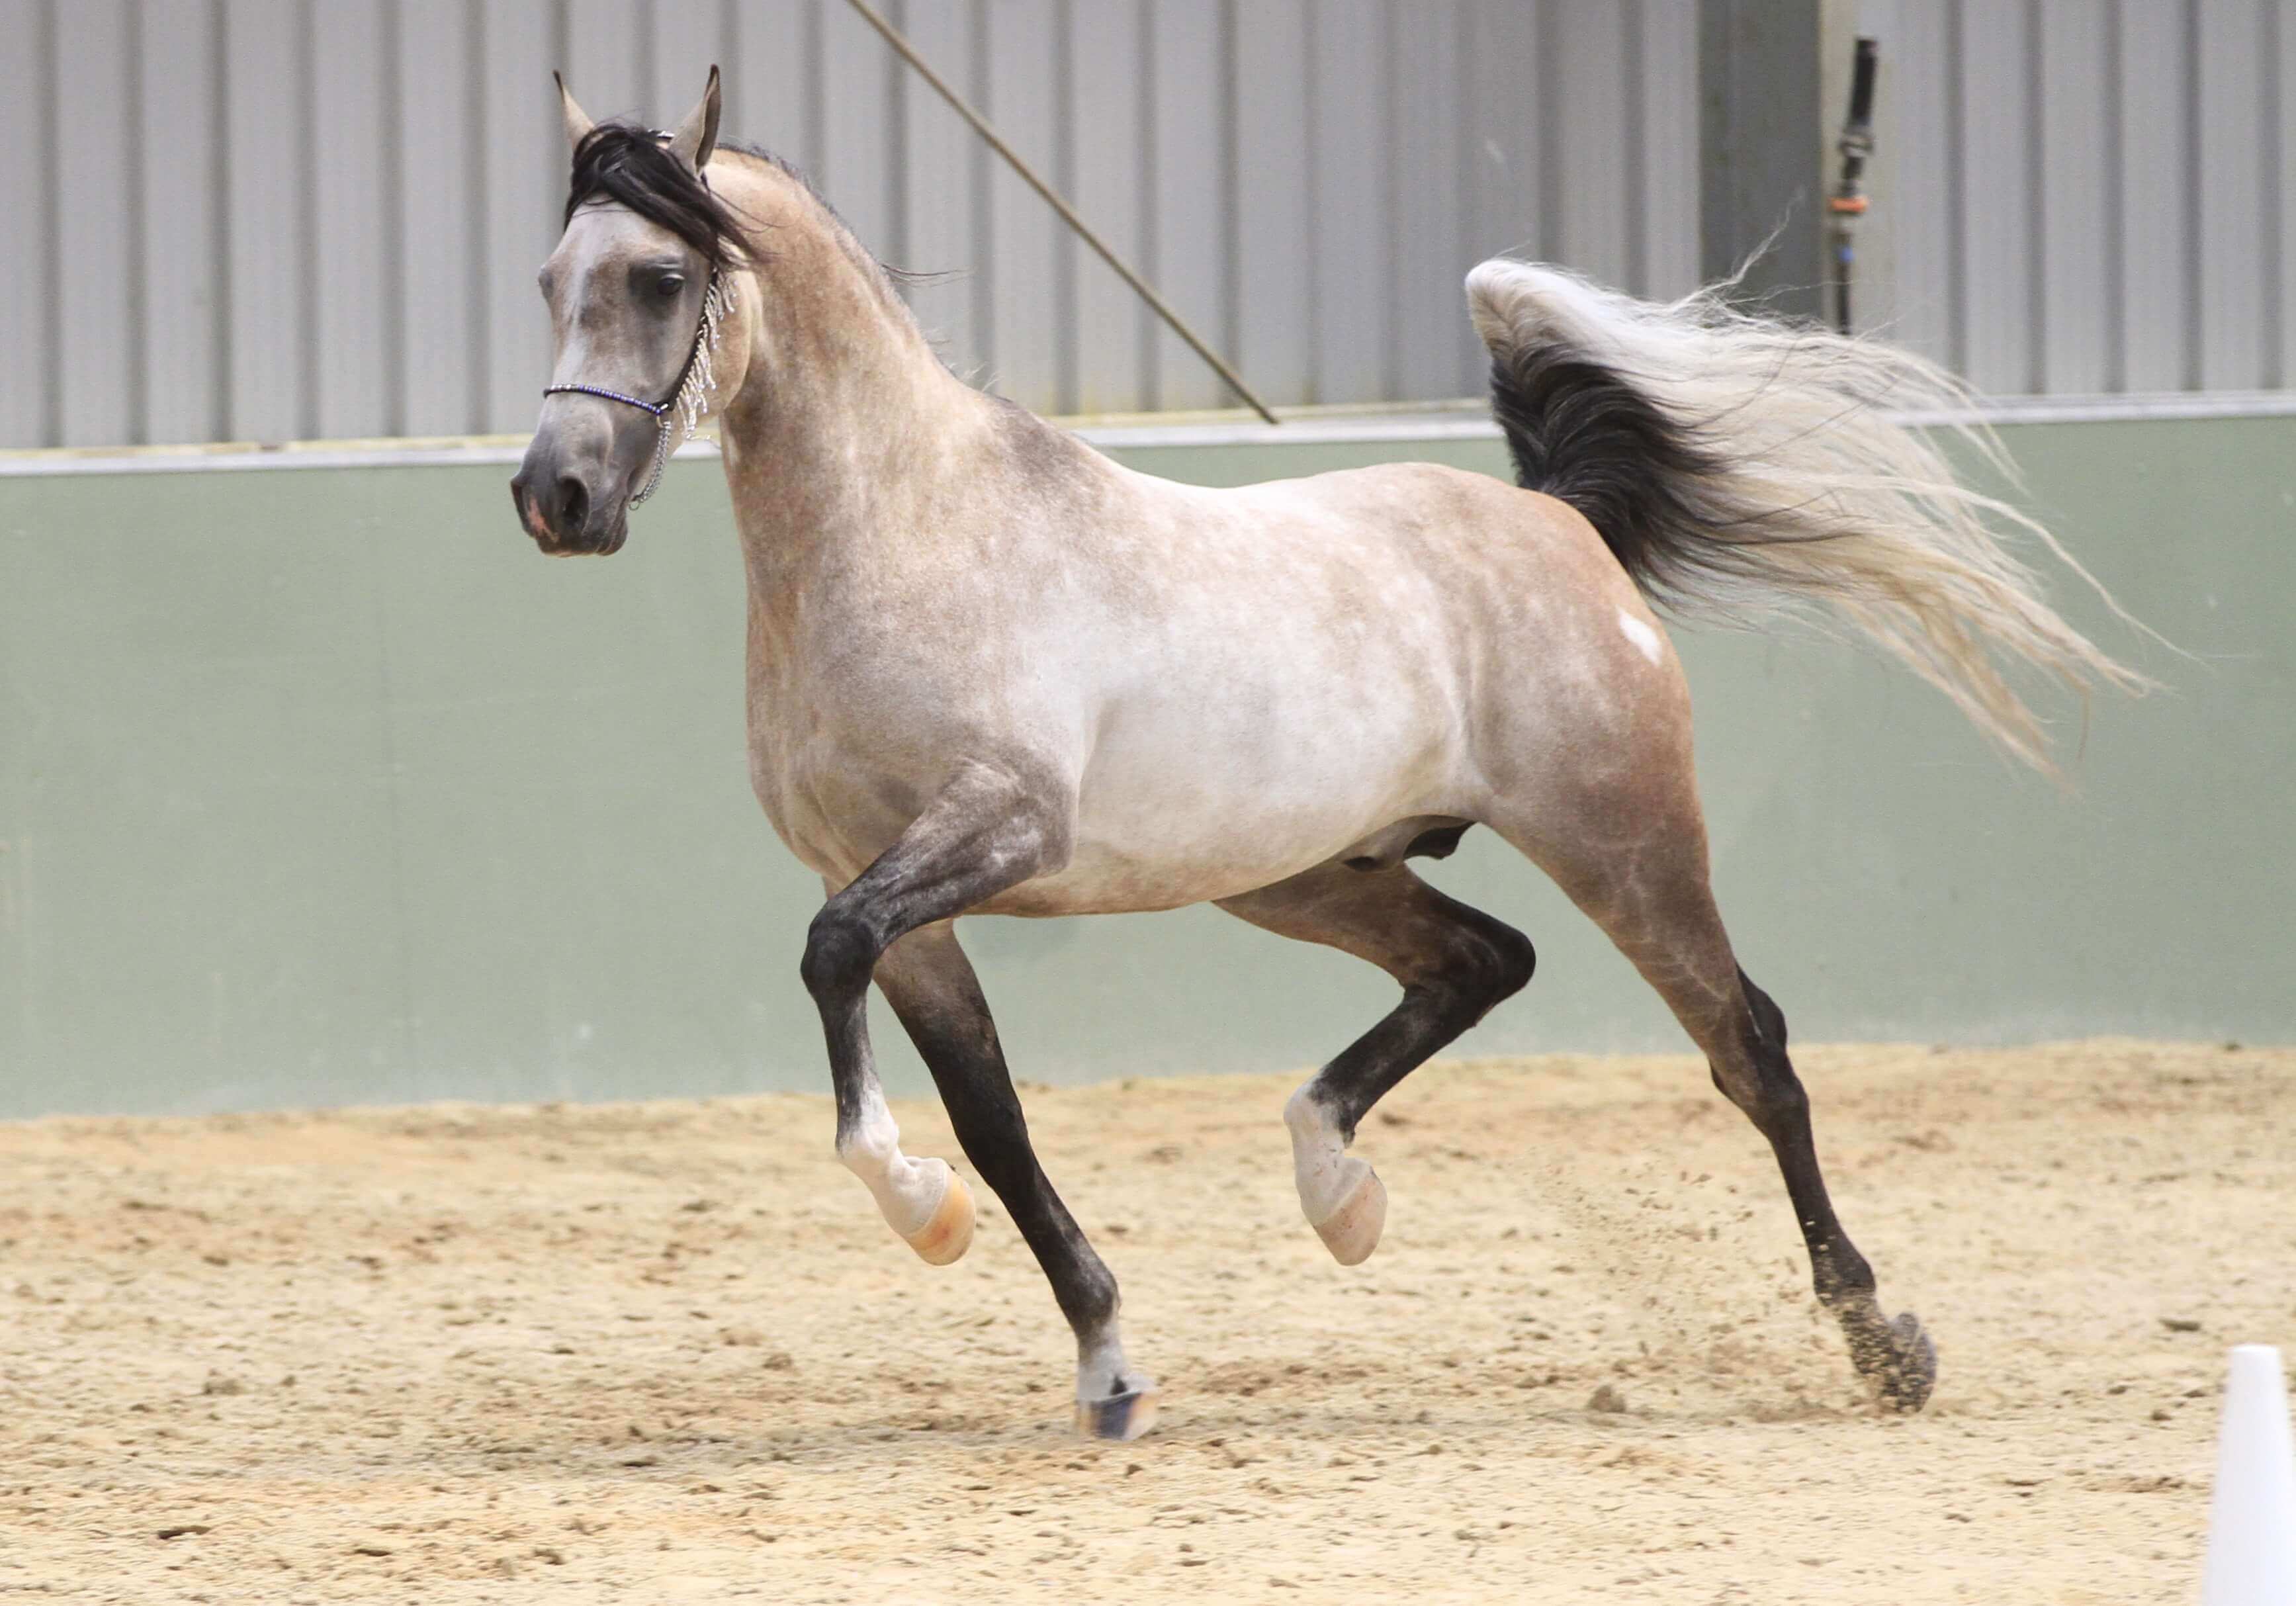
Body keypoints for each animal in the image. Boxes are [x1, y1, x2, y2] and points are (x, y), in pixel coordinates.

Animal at [511, 69, 2140, 1443]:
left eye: (660, 280)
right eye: (549, 281)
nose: (556, 497)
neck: (909, 531)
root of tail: (1551, 515)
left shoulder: (997, 831)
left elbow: (840, 971)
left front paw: (921, 1209)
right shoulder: (897, 892)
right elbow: (989, 1112)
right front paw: (1105, 1366)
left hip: (1625, 842)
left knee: (1752, 1050)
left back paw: (1881, 1346)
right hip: (1306, 875)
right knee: (1483, 961)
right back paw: (1337, 1187)